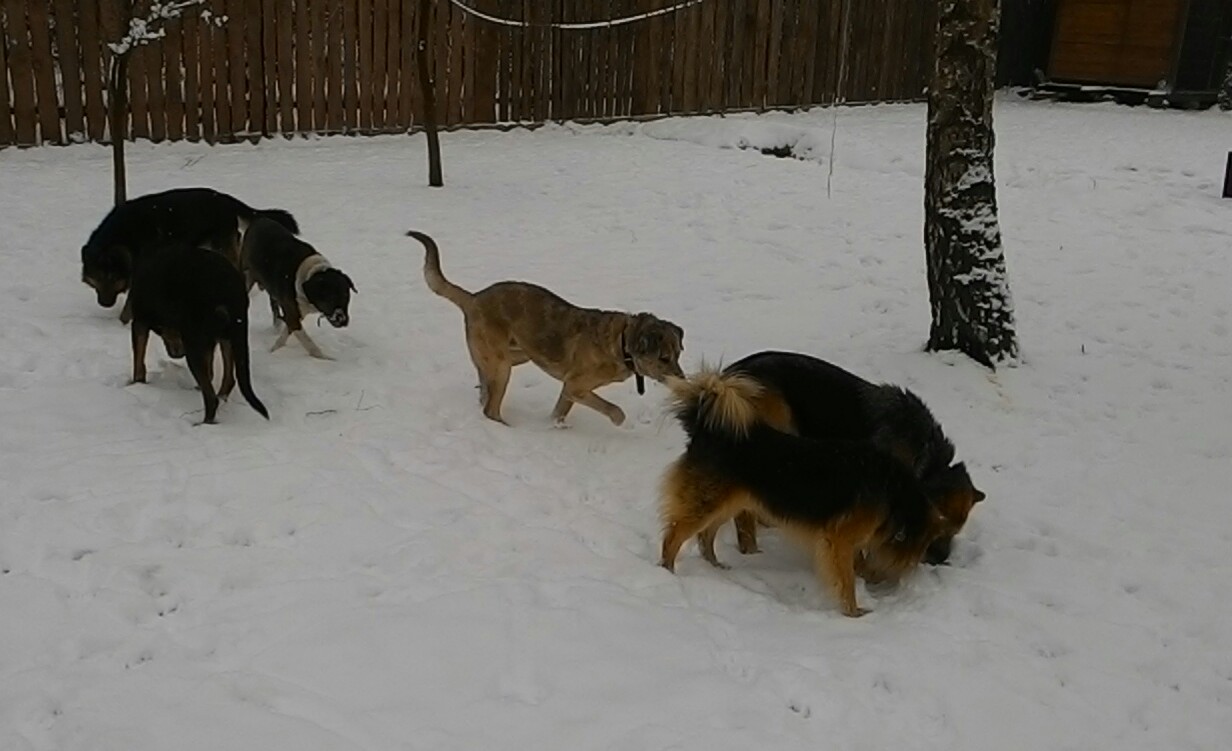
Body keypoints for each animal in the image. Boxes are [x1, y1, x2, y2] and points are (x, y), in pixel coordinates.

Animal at [81, 187, 298, 323]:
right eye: (97, 278)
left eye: (111, 277)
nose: (104, 304)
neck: (125, 236)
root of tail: (224, 198)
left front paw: (123, 322)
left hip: (221, 246)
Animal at [127, 242, 269, 424]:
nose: (176, 354)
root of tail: (229, 291)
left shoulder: (140, 323)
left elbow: (138, 362)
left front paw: (136, 385)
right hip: (229, 336)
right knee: (228, 379)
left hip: (195, 345)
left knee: (211, 398)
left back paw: (203, 423)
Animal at [241, 217, 356, 359]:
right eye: (329, 298)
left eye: (346, 295)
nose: (343, 320)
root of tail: (259, 219)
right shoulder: (293, 315)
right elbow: (308, 342)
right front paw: (325, 359)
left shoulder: (295, 314)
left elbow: (286, 333)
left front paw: (275, 349)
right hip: (246, 274)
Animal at [406, 230, 685, 426]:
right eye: (664, 358)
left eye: (678, 354)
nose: (684, 380)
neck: (622, 342)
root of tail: (473, 298)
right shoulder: (576, 386)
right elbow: (614, 410)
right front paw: (618, 421)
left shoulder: (569, 390)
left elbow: (559, 412)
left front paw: (555, 427)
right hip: (503, 364)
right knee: (490, 409)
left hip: (516, 355)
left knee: (484, 389)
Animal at [658, 368, 960, 617]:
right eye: (930, 542)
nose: (940, 561)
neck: (897, 496)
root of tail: (707, 427)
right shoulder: (838, 541)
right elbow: (846, 581)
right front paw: (854, 613)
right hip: (706, 503)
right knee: (674, 536)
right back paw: (667, 571)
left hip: (729, 502)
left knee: (705, 536)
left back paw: (714, 566)